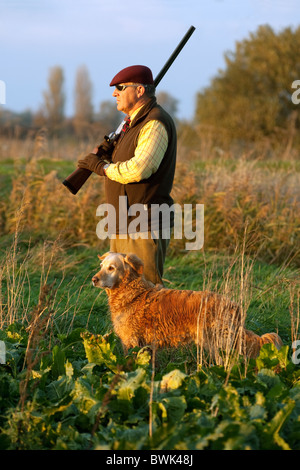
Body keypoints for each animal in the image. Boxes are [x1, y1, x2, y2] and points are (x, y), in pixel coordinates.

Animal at [92, 253, 284, 360]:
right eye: (101, 266)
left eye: (111, 268)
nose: (94, 279)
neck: (132, 293)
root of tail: (233, 306)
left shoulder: (130, 341)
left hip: (220, 344)